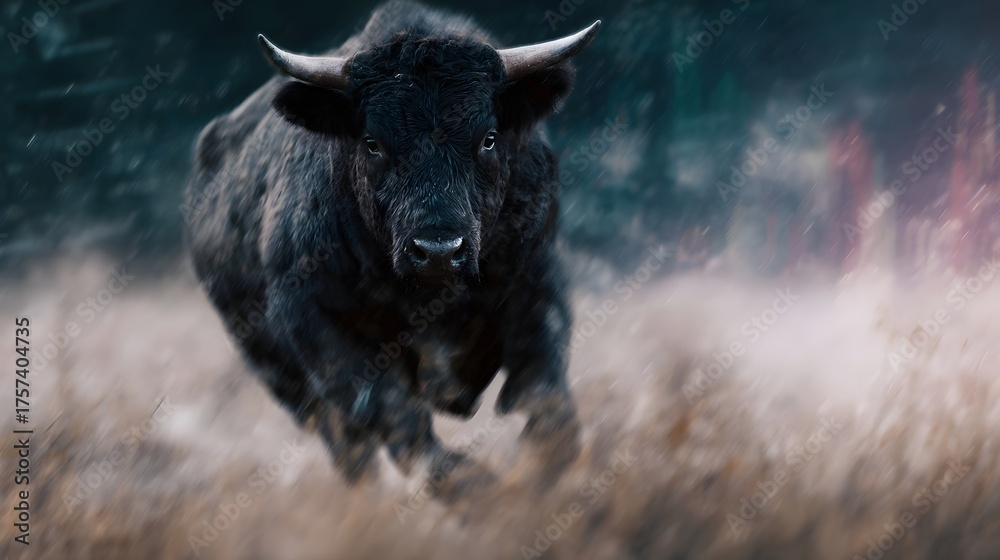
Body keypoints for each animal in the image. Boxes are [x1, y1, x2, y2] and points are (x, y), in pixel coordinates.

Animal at [184, 1, 600, 496]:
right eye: (372, 143)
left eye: (488, 138)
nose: (438, 249)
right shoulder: (318, 324)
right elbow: (399, 421)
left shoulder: (538, 288)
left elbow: (550, 412)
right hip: (286, 382)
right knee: (355, 452)